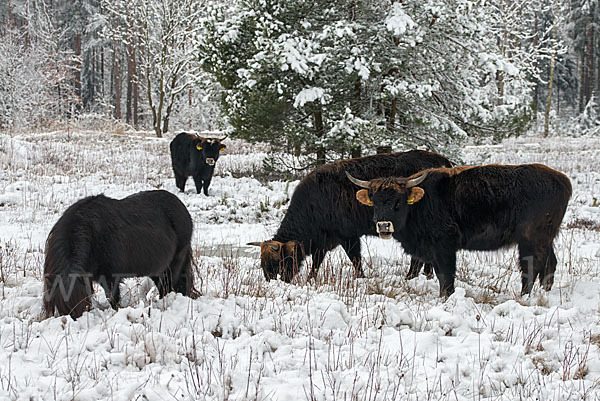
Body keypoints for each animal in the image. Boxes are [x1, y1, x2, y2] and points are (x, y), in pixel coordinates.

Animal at [42, 189, 197, 318]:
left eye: (83, 305)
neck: (92, 235)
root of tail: (182, 209)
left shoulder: (111, 278)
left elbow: (113, 299)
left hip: (174, 265)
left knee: (168, 288)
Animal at [247, 149, 450, 282]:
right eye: (263, 263)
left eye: (277, 261)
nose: (271, 280)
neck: (315, 203)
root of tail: (444, 162)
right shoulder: (323, 241)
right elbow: (317, 262)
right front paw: (311, 278)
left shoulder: (348, 236)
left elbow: (355, 259)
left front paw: (360, 278)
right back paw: (426, 275)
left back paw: (411, 276)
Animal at [350, 163, 576, 296]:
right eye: (374, 201)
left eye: (398, 202)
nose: (383, 225)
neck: (421, 203)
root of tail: (563, 180)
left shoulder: (444, 247)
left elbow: (446, 276)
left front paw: (446, 297)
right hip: (546, 239)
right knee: (550, 264)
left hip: (531, 240)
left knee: (531, 267)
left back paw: (524, 296)